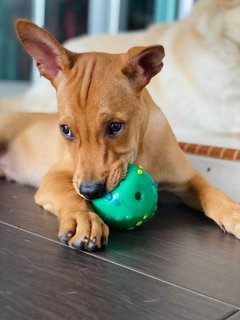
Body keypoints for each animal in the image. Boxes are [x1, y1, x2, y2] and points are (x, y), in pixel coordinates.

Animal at [0, 20, 240, 251]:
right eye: (65, 130)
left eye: (115, 126)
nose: (91, 191)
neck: (139, 151)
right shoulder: (56, 176)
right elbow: (71, 195)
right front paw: (84, 219)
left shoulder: (189, 179)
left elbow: (214, 194)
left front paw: (234, 213)